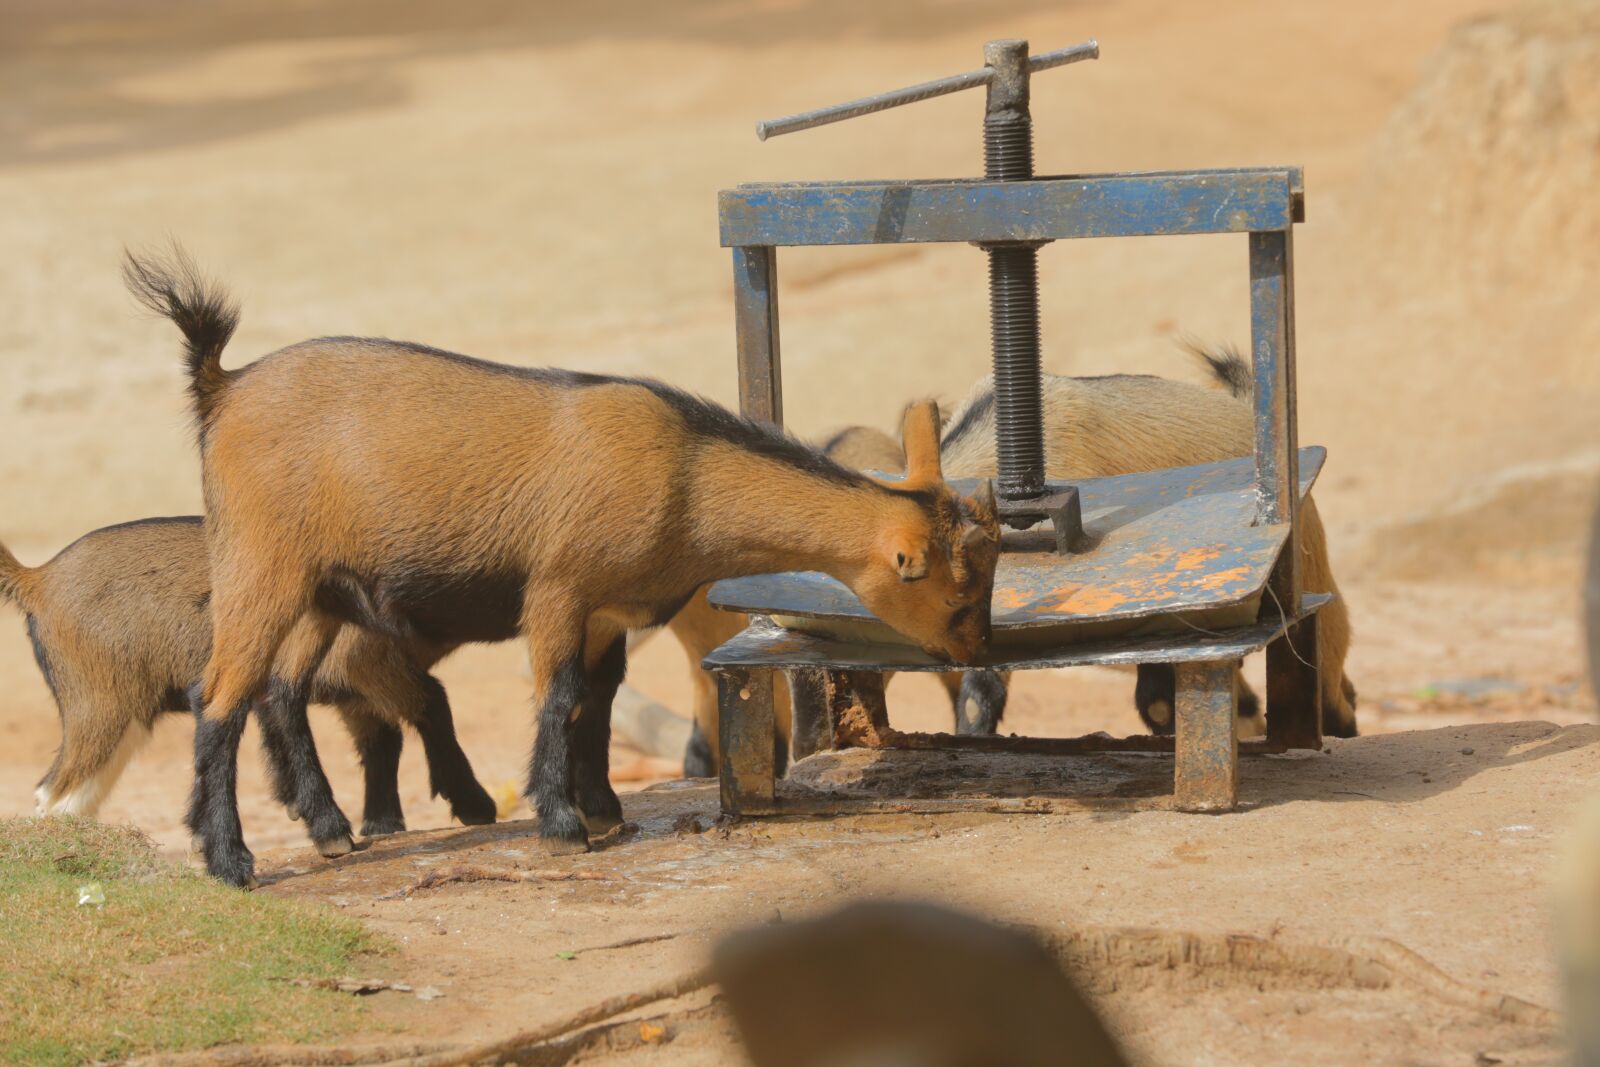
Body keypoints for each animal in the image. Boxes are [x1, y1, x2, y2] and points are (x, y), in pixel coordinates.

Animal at [0, 517, 496, 851]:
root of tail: (38, 579)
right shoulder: (371, 669)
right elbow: (433, 703)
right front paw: (474, 804)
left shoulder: (356, 697)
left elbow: (380, 743)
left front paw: (378, 824)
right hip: (104, 705)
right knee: (55, 793)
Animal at [125, 247, 1001, 885]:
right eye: (952, 588)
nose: (975, 654)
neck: (684, 473)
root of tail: (222, 388)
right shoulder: (558, 589)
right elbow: (558, 697)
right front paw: (561, 823)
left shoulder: (611, 611)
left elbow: (598, 704)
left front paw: (606, 808)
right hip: (260, 563)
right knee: (219, 696)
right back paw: (231, 859)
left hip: (321, 592)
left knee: (280, 688)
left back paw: (331, 827)